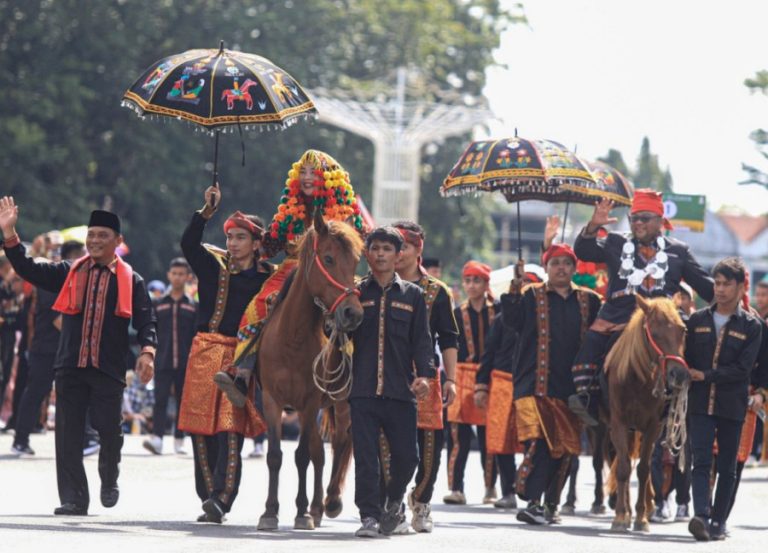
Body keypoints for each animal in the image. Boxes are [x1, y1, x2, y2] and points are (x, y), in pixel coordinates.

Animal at [256, 209, 364, 528]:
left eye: (356, 261)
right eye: (328, 258)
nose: (353, 313)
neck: (292, 338)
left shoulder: (310, 402)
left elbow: (302, 455)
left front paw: (302, 511)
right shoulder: (272, 399)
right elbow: (276, 455)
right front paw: (270, 511)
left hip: (341, 402)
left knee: (340, 442)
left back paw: (329, 501)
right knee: (320, 451)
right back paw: (317, 507)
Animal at [608, 296, 688, 532]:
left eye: (682, 330)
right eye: (655, 331)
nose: (679, 374)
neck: (638, 380)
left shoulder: (653, 427)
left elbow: (644, 470)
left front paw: (641, 518)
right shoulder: (618, 423)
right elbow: (623, 468)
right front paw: (620, 517)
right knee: (622, 463)